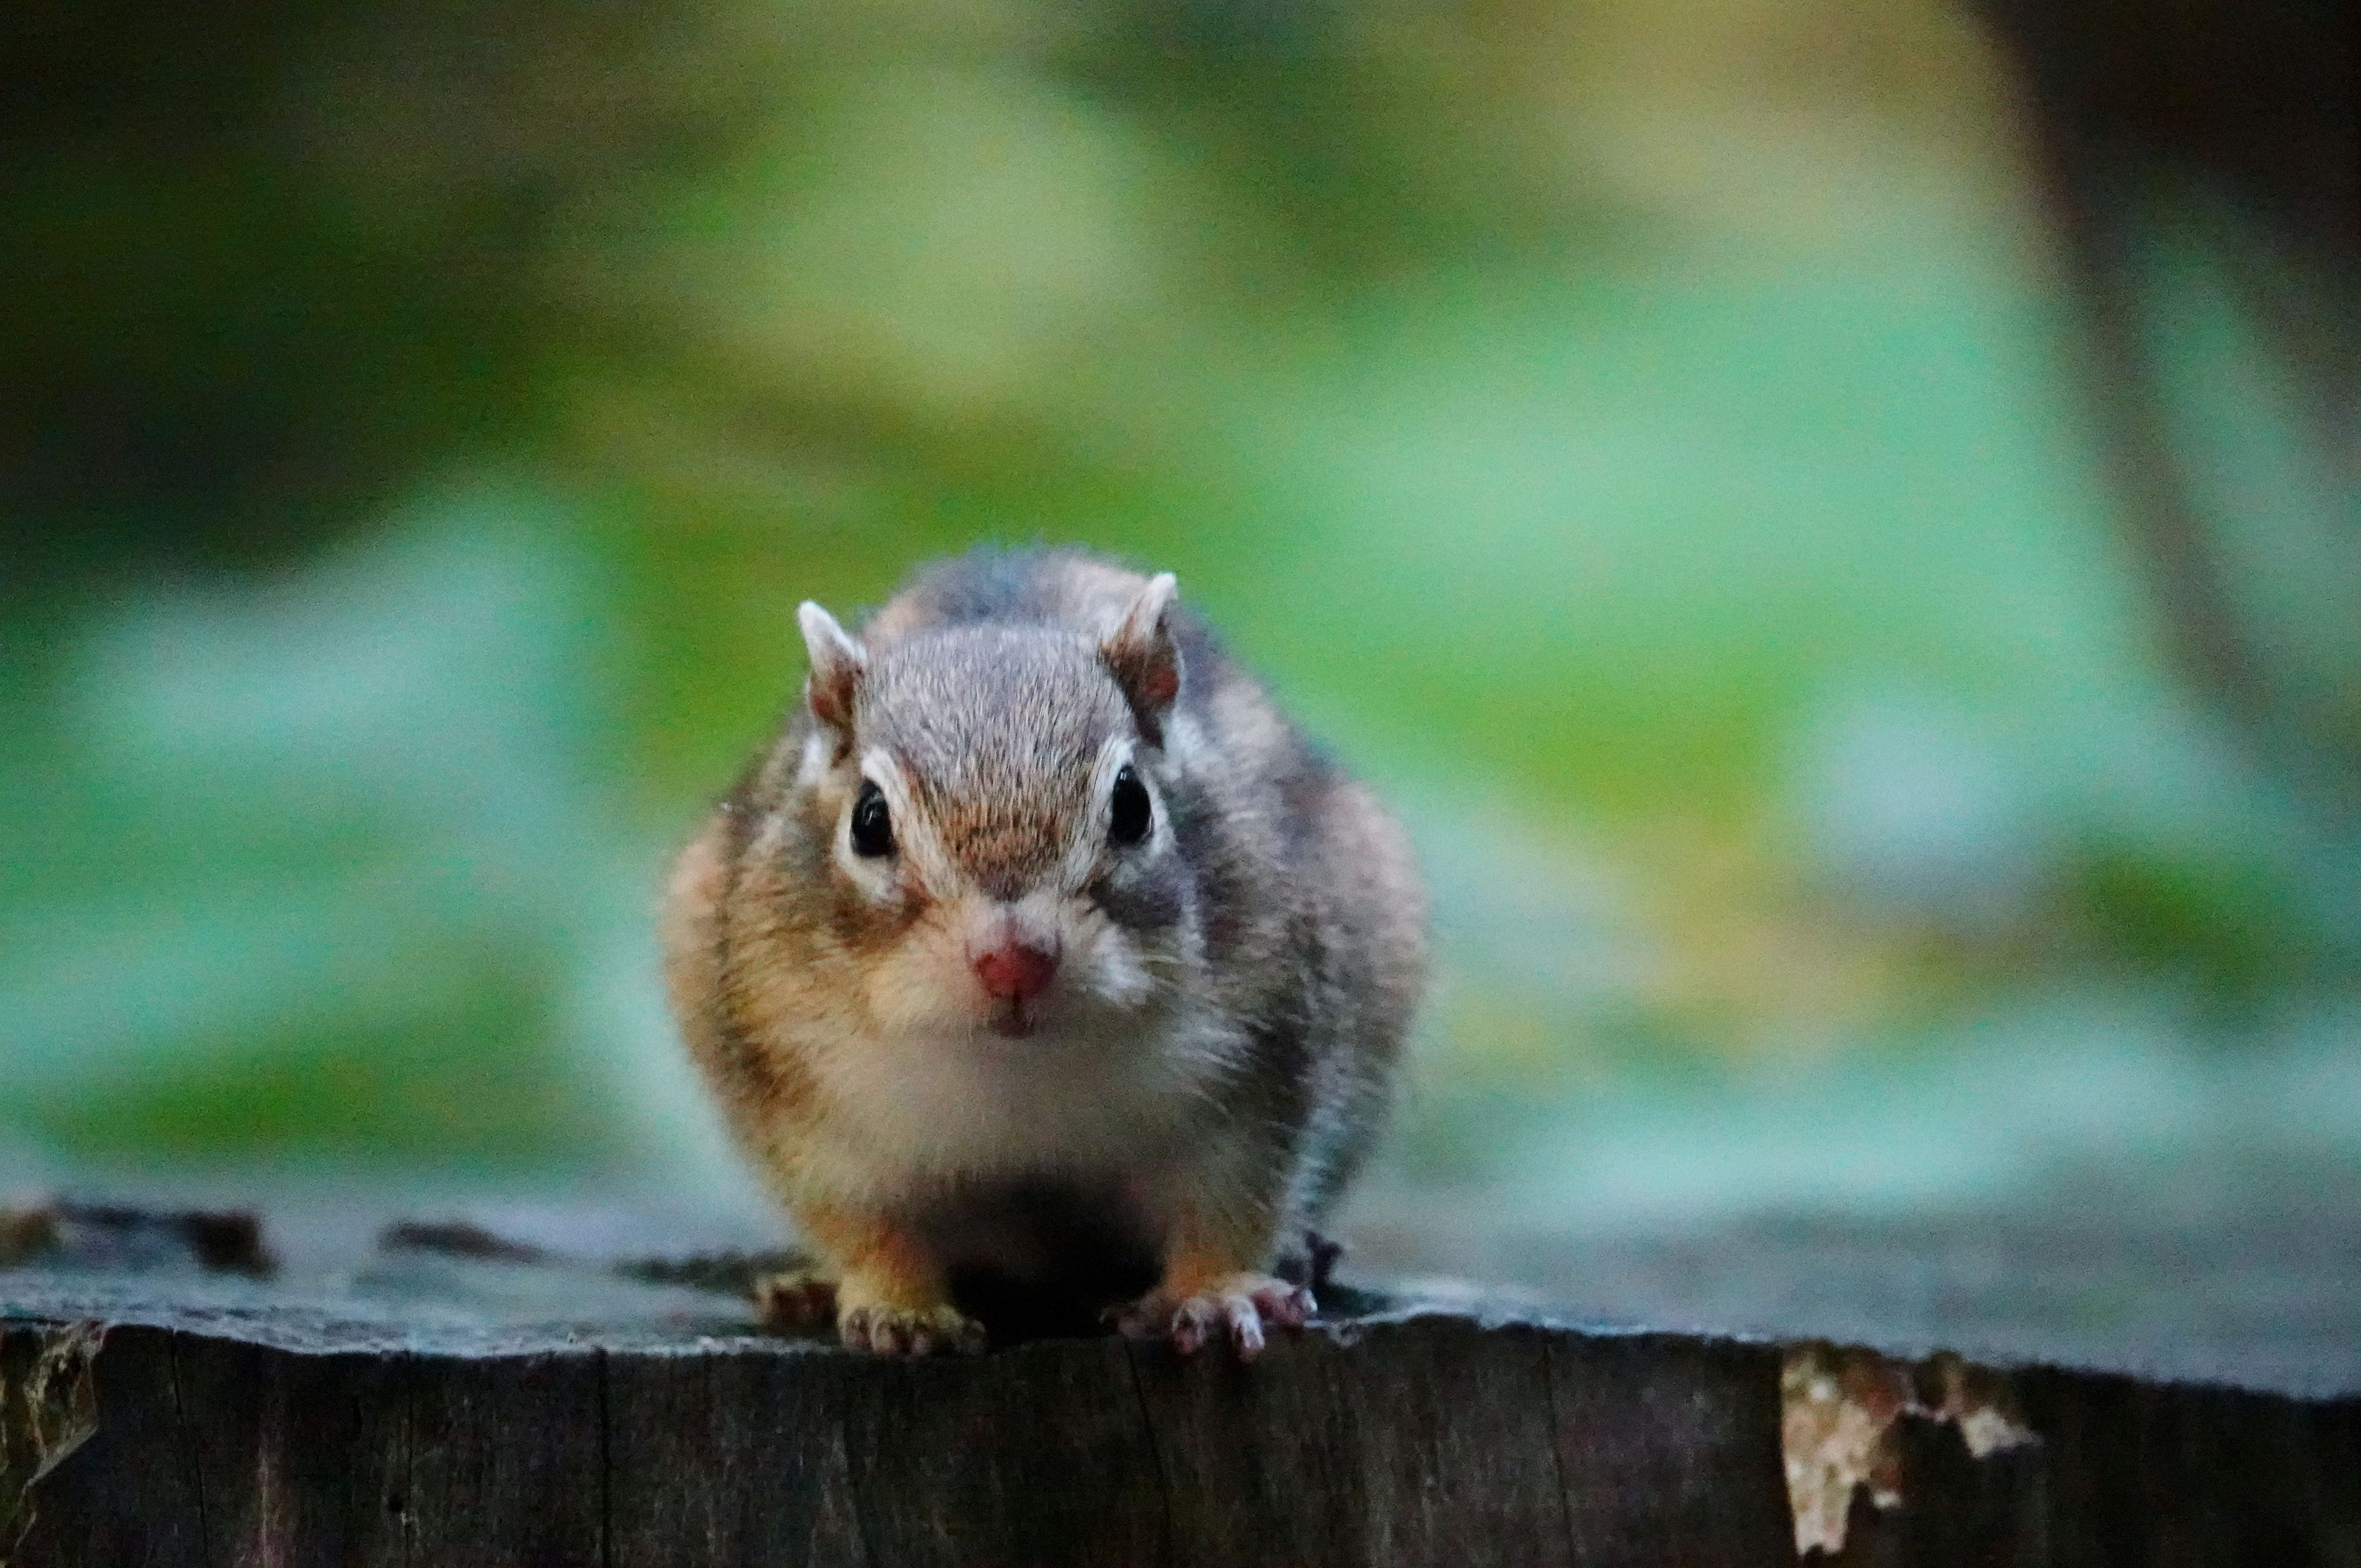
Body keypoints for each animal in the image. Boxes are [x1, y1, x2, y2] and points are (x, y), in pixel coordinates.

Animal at [660, 547, 1426, 1358]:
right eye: (869, 820)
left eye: (1133, 804)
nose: (1014, 959)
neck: (1016, 1076)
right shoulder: (811, 1124)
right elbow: (867, 1226)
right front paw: (900, 1308)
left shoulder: (1257, 1081)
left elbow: (1229, 1207)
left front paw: (1213, 1293)